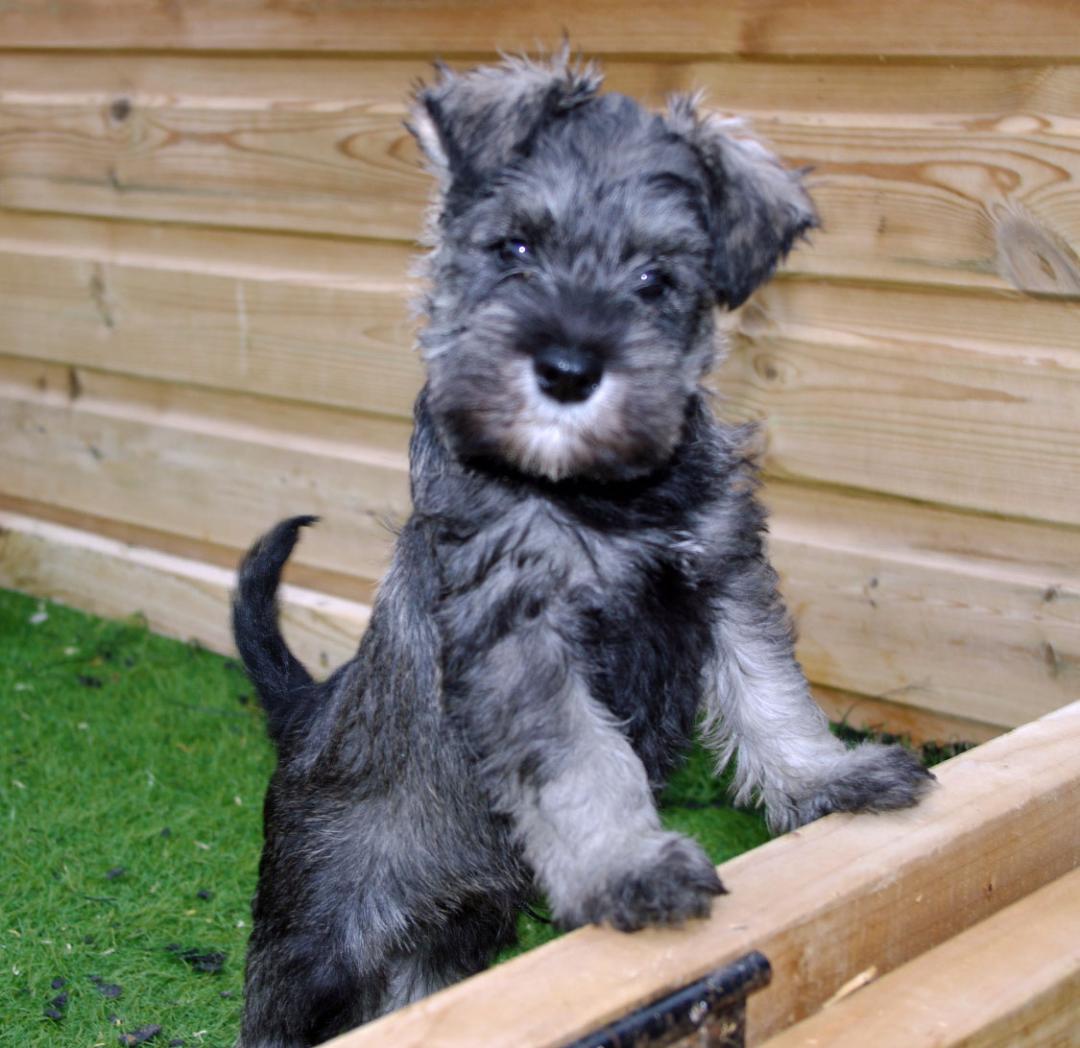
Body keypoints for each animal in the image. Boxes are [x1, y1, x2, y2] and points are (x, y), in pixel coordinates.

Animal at [232, 51, 933, 1045]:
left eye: (654, 277)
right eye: (515, 248)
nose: (567, 371)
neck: (597, 488)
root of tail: (309, 713)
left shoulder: (724, 572)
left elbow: (770, 691)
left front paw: (828, 777)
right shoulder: (520, 629)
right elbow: (582, 759)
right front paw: (628, 867)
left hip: (451, 934)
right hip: (312, 937)